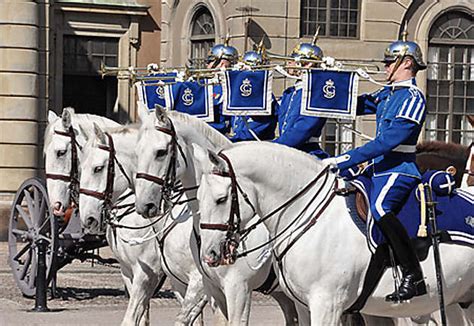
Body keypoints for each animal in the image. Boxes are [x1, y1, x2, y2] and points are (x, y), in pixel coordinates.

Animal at [193, 142, 474, 326]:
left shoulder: (326, 304)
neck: (307, 214)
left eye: (221, 199)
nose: (209, 254)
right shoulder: (303, 306)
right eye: (199, 197)